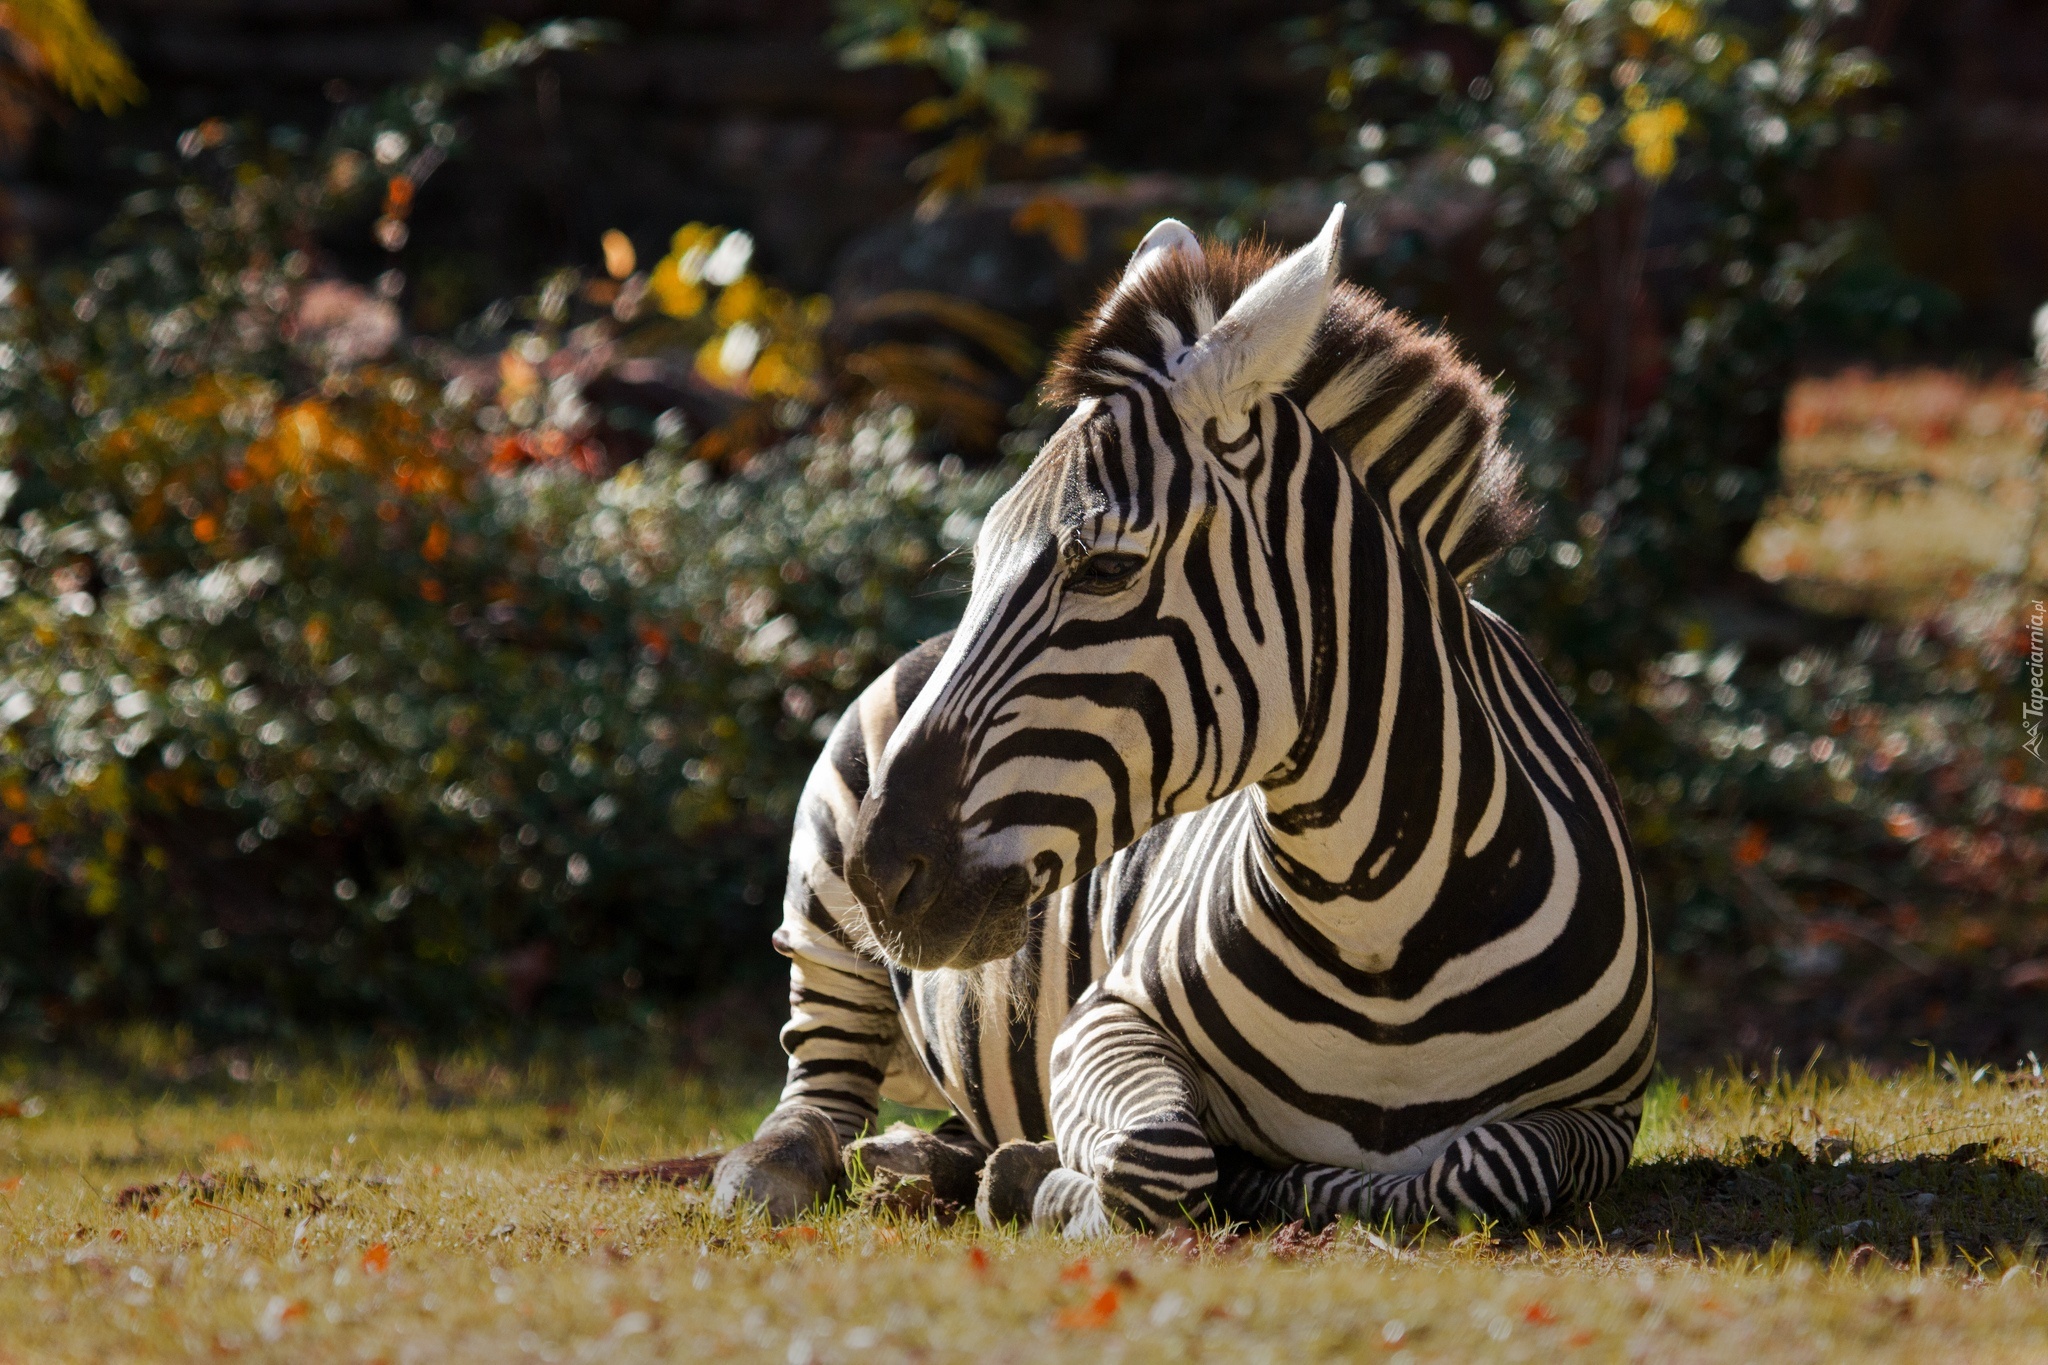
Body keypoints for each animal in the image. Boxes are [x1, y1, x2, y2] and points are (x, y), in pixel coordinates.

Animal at [712, 205, 1654, 1236]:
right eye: (982, 558)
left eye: (1107, 568)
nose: (880, 874)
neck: (1382, 929)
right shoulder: (1106, 1018)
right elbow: (1160, 1151)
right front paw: (1054, 1182)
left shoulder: (1606, 1110)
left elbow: (1487, 1166)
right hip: (821, 909)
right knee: (817, 1084)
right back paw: (785, 1169)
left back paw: (928, 1160)